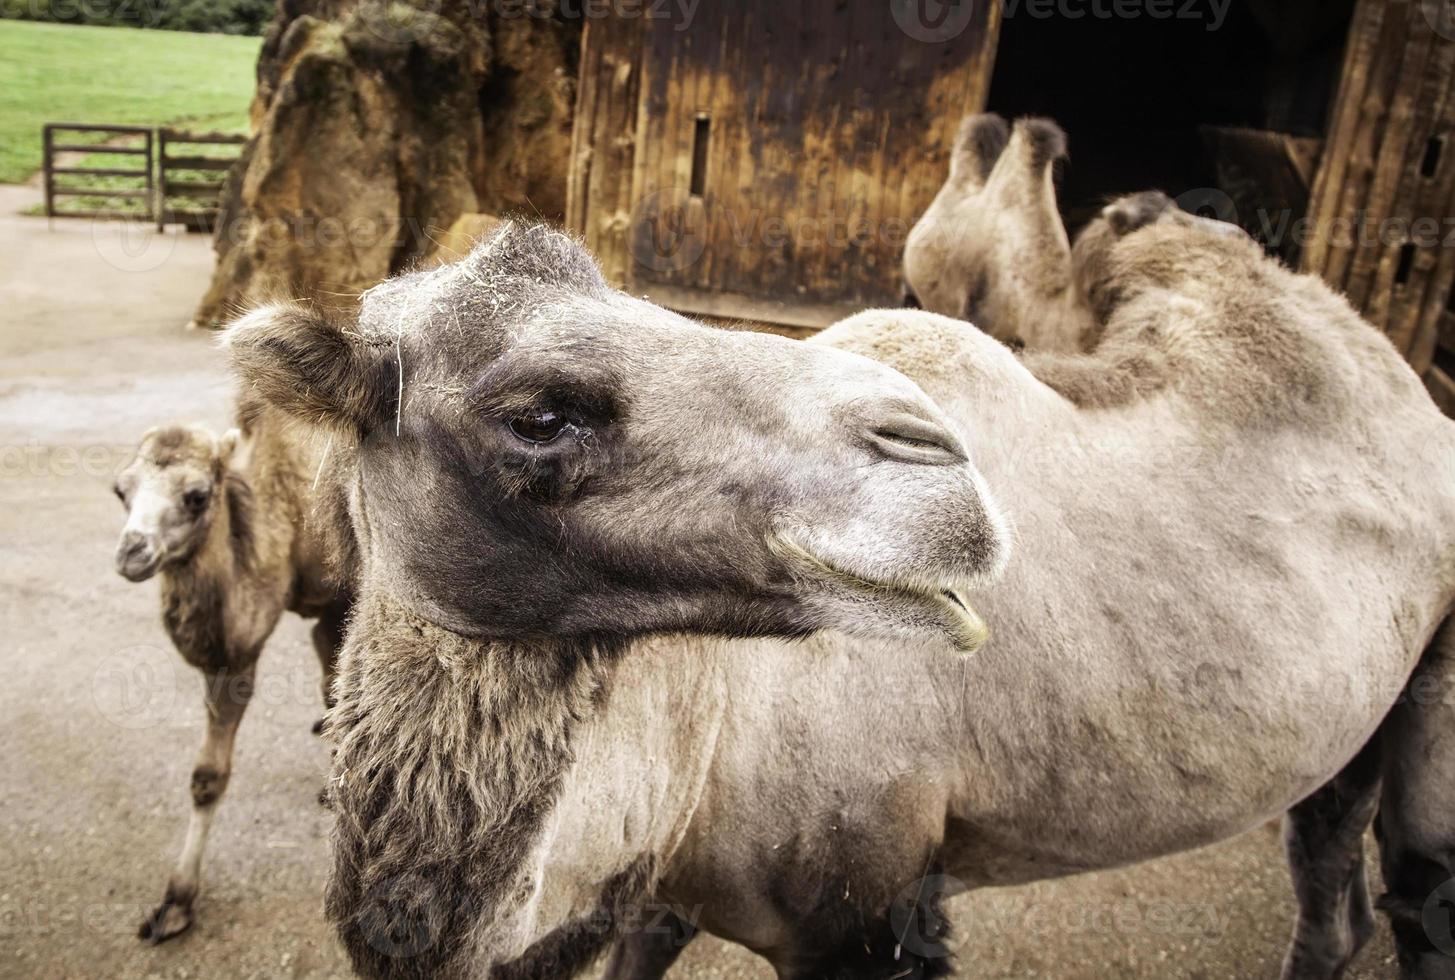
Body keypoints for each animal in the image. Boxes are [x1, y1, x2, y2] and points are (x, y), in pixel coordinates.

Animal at [109, 401, 353, 936]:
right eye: (121, 489)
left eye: (196, 496)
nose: (131, 553)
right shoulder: (247, 646)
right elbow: (206, 776)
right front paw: (173, 904)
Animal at [232, 215, 1455, 977]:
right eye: (540, 414)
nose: (943, 470)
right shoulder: (656, 890)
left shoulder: (871, 909)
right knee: (1333, 881)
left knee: (1420, 883)